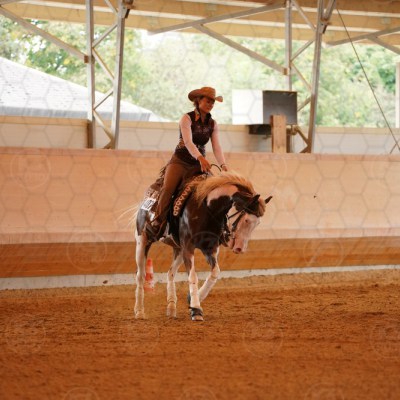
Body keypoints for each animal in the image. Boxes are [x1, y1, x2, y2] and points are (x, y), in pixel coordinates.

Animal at [134, 171, 272, 321]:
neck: (207, 209)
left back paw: (171, 308)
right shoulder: (188, 247)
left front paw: (195, 298)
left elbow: (215, 272)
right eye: (246, 220)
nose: (240, 248)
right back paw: (139, 311)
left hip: (179, 249)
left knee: (170, 273)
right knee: (141, 275)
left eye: (257, 223)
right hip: (143, 241)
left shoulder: (210, 248)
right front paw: (196, 309)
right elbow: (193, 276)